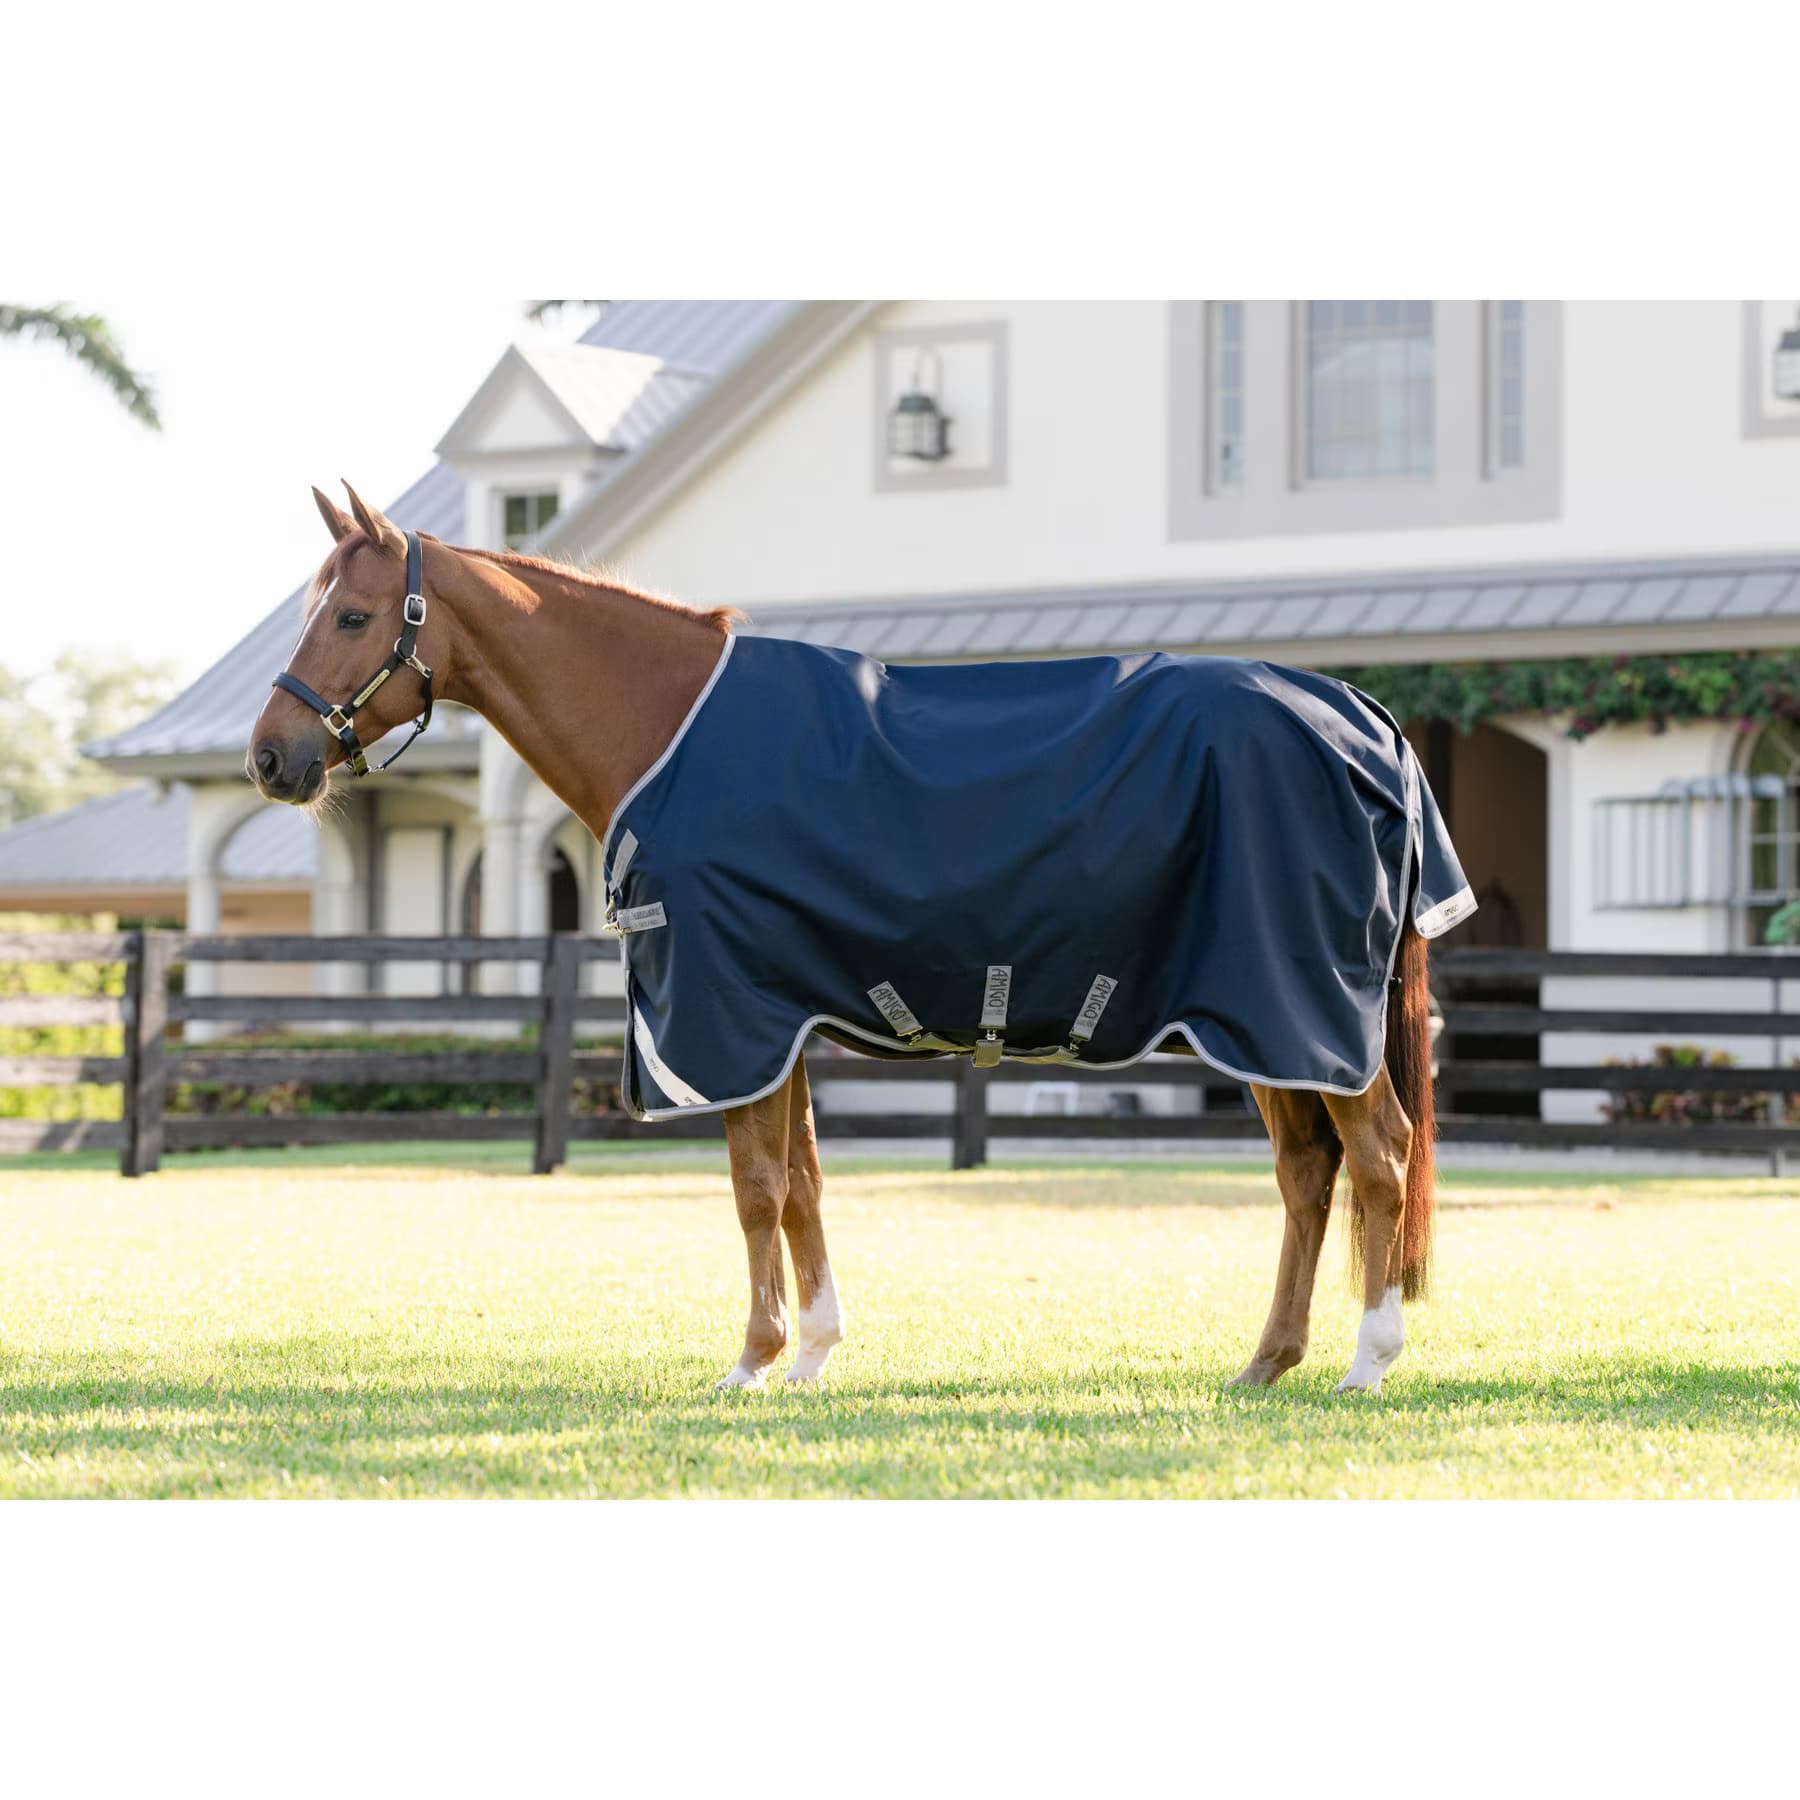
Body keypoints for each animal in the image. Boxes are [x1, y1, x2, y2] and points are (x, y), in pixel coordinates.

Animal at [248, 481, 1455, 1395]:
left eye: (351, 616)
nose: (270, 757)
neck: (669, 726)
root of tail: (1364, 720)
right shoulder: (780, 1020)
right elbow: (802, 1183)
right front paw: (813, 1355)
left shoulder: (730, 1014)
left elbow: (754, 1186)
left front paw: (752, 1362)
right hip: (1266, 1026)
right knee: (1307, 1174)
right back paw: (1267, 1362)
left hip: (1301, 1013)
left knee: (1379, 1158)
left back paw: (1366, 1363)